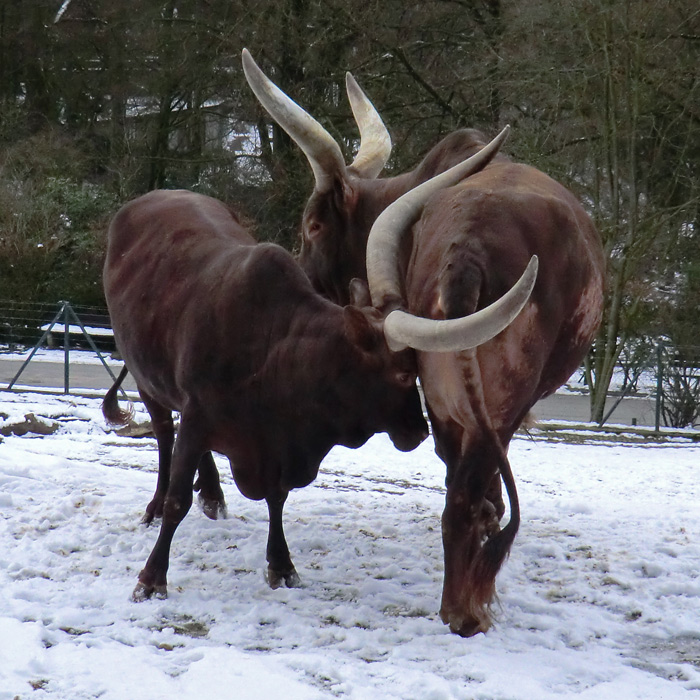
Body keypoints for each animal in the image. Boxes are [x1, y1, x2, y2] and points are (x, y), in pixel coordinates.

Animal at [101, 187, 532, 600]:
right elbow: (179, 499)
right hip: (146, 379)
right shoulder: (199, 418)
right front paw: (151, 578)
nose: (418, 431)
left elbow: (277, 498)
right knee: (163, 434)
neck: (273, 349)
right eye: (404, 374)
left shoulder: (277, 444)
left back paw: (211, 494)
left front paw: (281, 565)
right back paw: (159, 503)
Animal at [243, 52, 604, 636]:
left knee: (461, 487)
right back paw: (465, 610)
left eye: (313, 225)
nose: (301, 281)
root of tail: (469, 250)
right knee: (466, 488)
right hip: (492, 400)